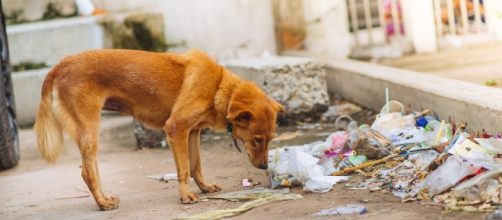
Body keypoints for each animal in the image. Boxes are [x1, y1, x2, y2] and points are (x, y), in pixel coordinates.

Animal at [33, 49, 284, 211]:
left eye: (271, 138)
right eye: (257, 139)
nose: (265, 167)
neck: (218, 87)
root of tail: (60, 65)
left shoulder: (193, 132)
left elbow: (196, 165)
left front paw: (204, 187)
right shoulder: (176, 128)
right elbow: (184, 169)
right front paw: (185, 196)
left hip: (90, 132)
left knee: (92, 169)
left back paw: (104, 199)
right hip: (90, 129)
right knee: (87, 172)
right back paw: (102, 204)